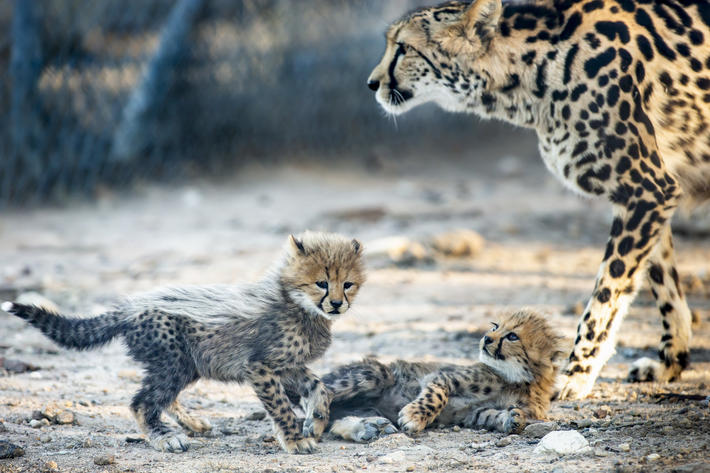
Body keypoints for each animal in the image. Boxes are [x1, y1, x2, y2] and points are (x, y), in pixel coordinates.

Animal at [1, 231, 365, 454]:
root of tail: (128, 307)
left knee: (162, 397)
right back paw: (165, 438)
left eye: (347, 284)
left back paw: (191, 423)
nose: (337, 304)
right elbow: (281, 405)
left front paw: (316, 421)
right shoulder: (261, 366)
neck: (297, 303)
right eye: (321, 283)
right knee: (143, 402)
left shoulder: (286, 365)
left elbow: (320, 386)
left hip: (188, 363)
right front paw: (295, 439)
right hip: (173, 360)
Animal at [320, 309, 566, 442]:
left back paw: (369, 427)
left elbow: (490, 414)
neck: (517, 380)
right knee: (321, 398)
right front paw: (413, 416)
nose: (486, 338)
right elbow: (436, 397)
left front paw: (513, 419)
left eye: (513, 335)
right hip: (376, 374)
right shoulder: (442, 377)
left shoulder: (472, 414)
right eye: (495, 326)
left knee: (335, 419)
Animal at [366, 0, 710, 400]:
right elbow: (663, 283)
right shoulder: (648, 193)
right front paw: (670, 363)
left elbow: (604, 297)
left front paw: (577, 373)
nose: (372, 83)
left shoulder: (647, 190)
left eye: (404, 47)